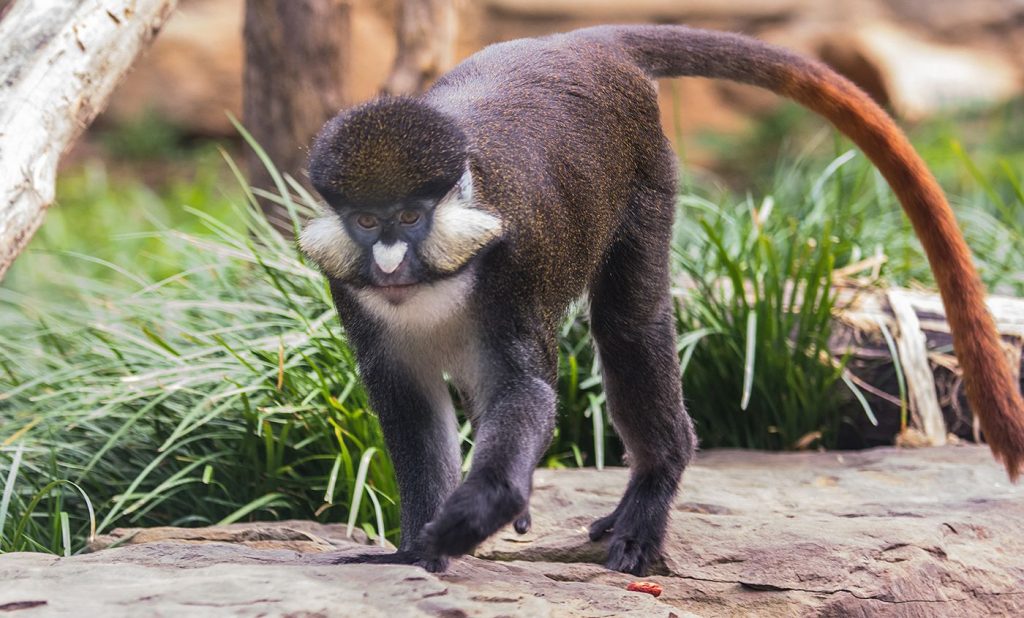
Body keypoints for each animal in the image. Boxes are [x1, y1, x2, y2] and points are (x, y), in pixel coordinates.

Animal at [299, 24, 1024, 572]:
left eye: (411, 216)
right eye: (366, 221)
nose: (389, 261)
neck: (438, 284)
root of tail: (580, 41)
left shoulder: (515, 266)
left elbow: (524, 389)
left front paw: (477, 513)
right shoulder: (350, 294)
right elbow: (410, 409)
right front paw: (415, 550)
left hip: (648, 173)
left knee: (626, 326)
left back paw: (652, 487)